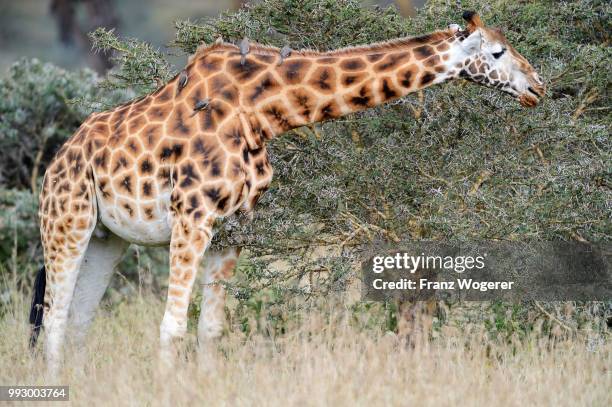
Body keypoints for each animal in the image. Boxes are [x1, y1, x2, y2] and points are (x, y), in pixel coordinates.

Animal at [29, 11, 544, 372]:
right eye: (497, 53)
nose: (539, 86)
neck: (261, 113)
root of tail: (56, 162)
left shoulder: (235, 226)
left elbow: (211, 328)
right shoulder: (192, 215)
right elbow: (172, 326)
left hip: (107, 237)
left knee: (77, 320)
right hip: (67, 222)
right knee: (53, 317)